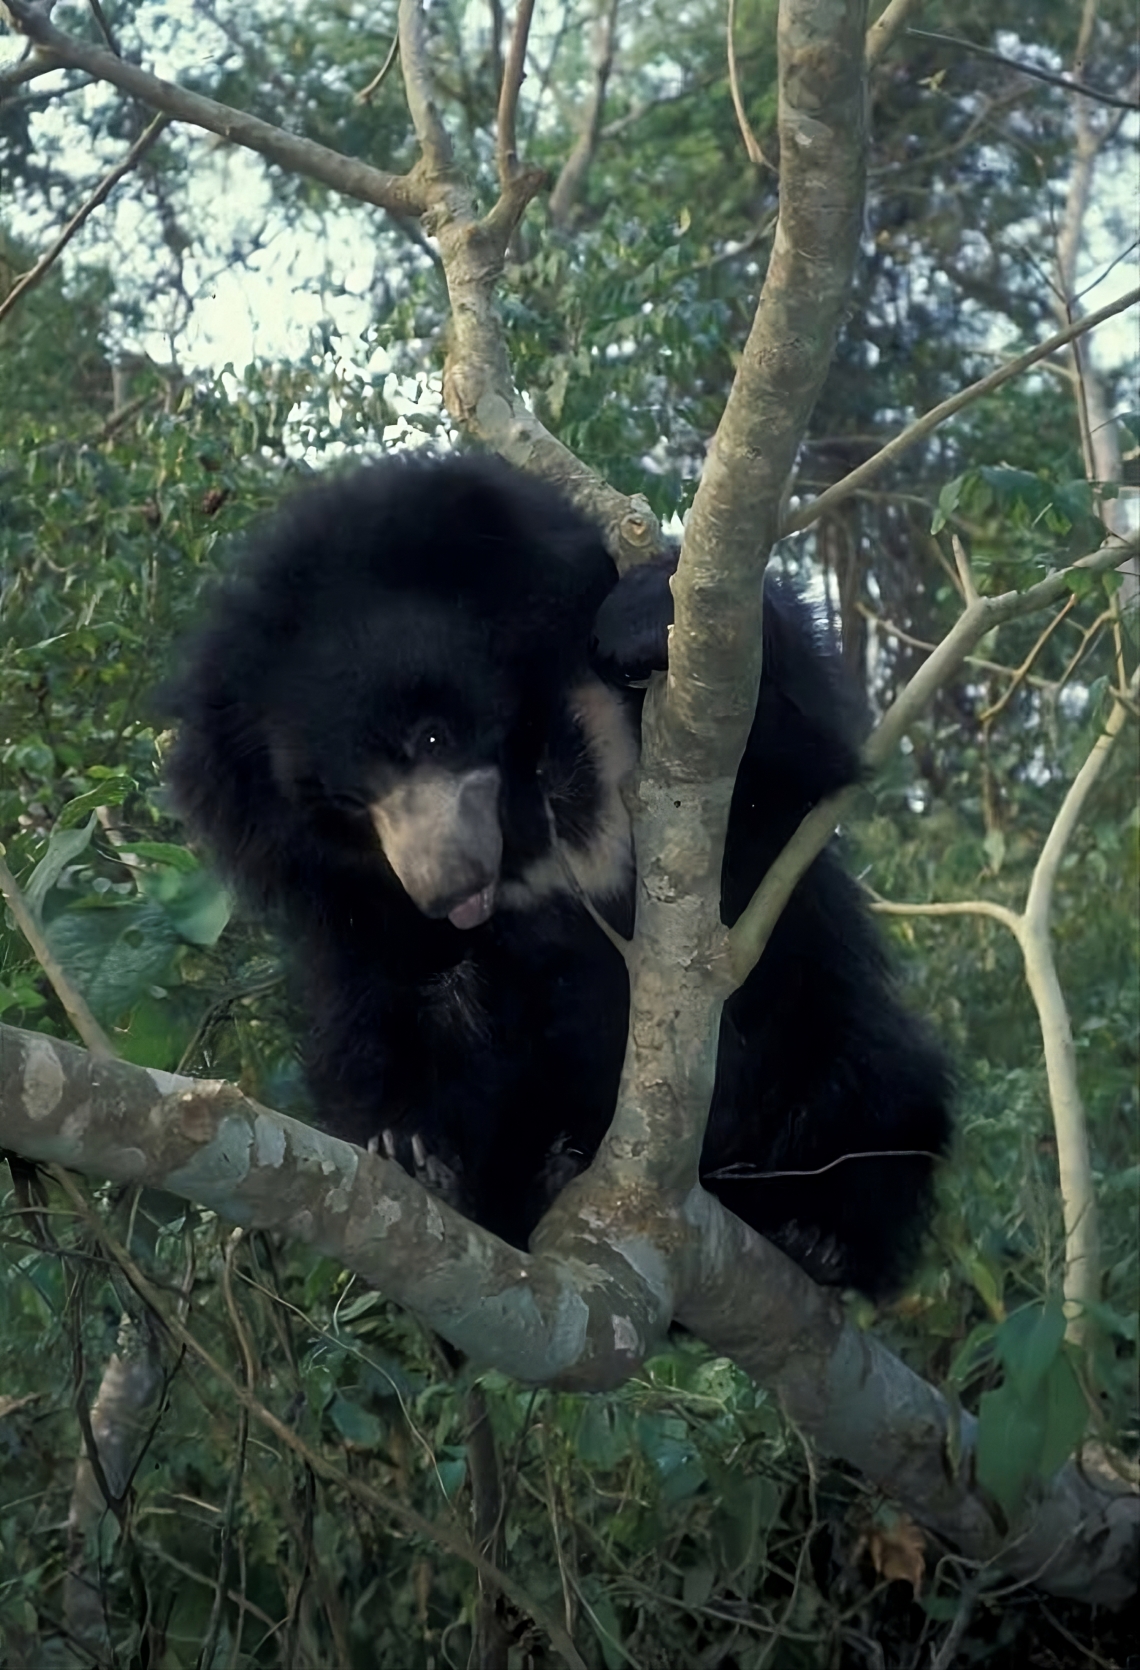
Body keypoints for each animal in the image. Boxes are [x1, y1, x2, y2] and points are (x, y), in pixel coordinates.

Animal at [166, 450, 954, 1295]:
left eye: (435, 737)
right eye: (347, 802)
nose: (445, 892)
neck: (525, 796)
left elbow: (797, 765)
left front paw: (644, 618)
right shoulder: (345, 889)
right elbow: (386, 993)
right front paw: (413, 1147)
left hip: (813, 1035)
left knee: (874, 1080)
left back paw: (822, 1236)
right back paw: (543, 1170)